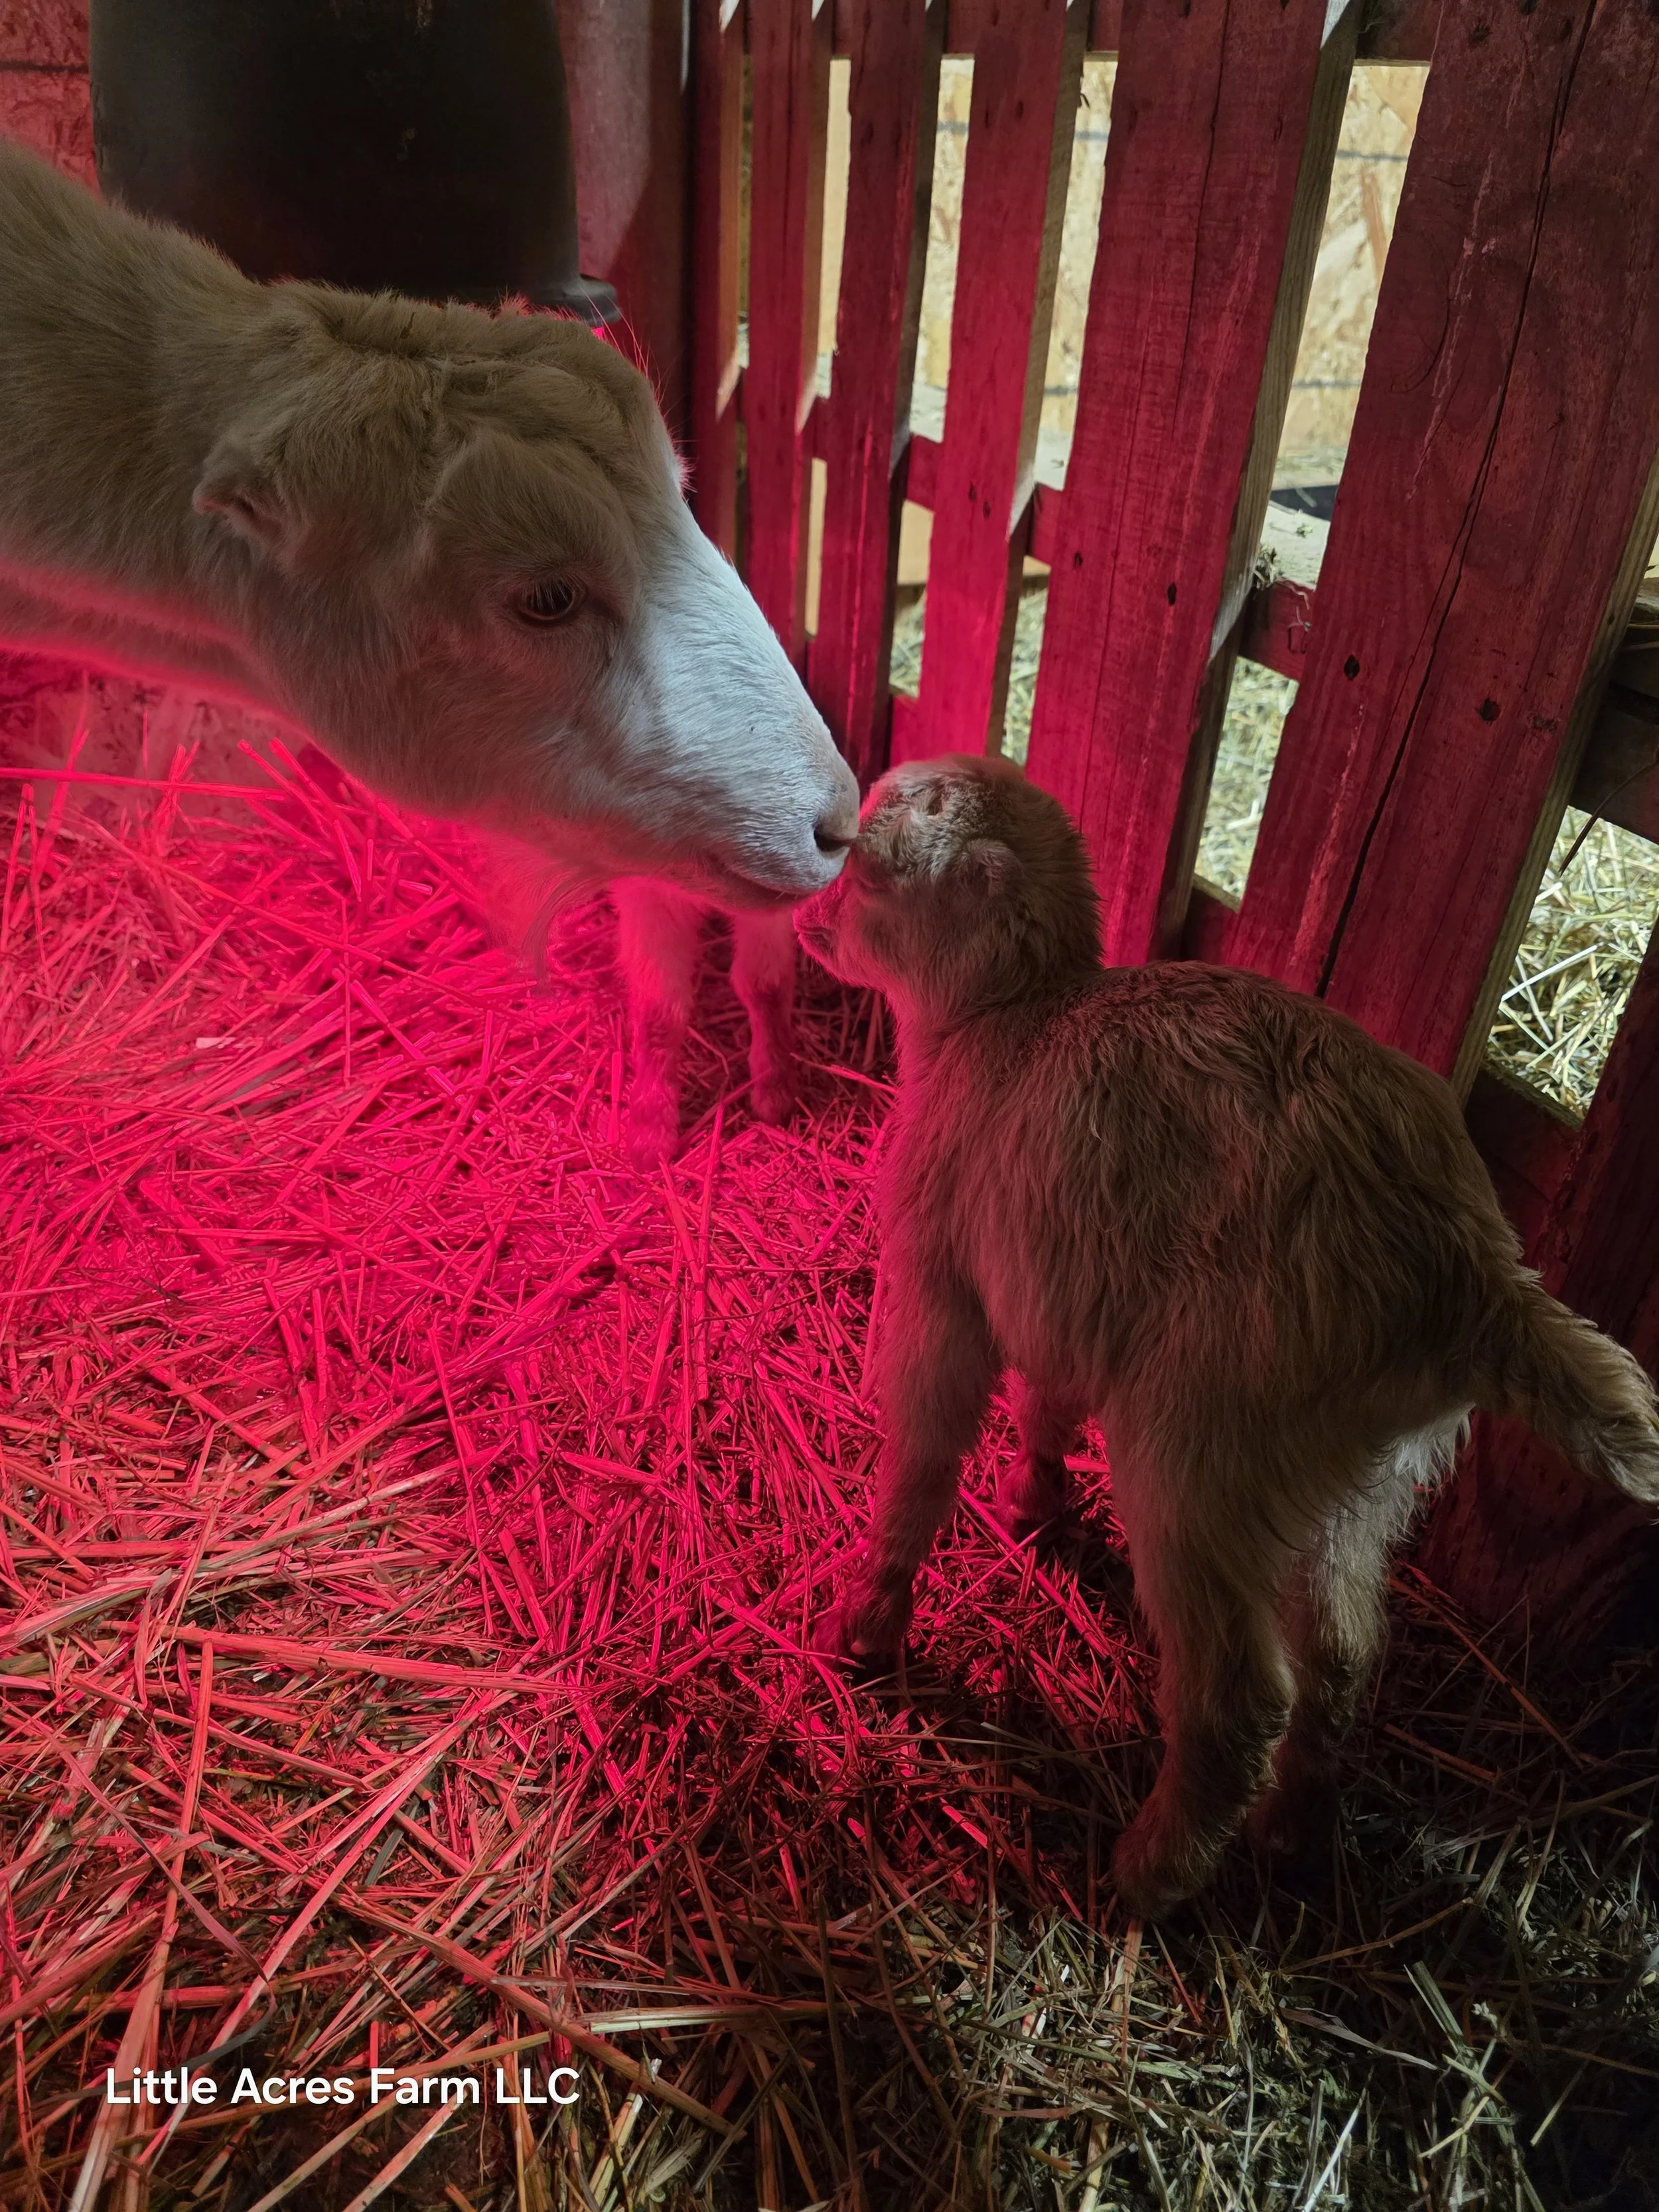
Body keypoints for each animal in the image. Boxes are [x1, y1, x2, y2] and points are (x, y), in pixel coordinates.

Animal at [795, 754, 1659, 1918]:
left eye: (871, 873)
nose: (808, 920)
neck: (1007, 1021)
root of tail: (1472, 1280)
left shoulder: (947, 1288)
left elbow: (925, 1458)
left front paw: (869, 1627)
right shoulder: (1068, 1285)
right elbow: (1048, 1402)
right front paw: (1038, 1505)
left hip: (1204, 1445)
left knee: (1241, 1696)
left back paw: (1149, 1874)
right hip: (1360, 1474)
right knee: (1343, 1654)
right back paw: (1291, 1835)